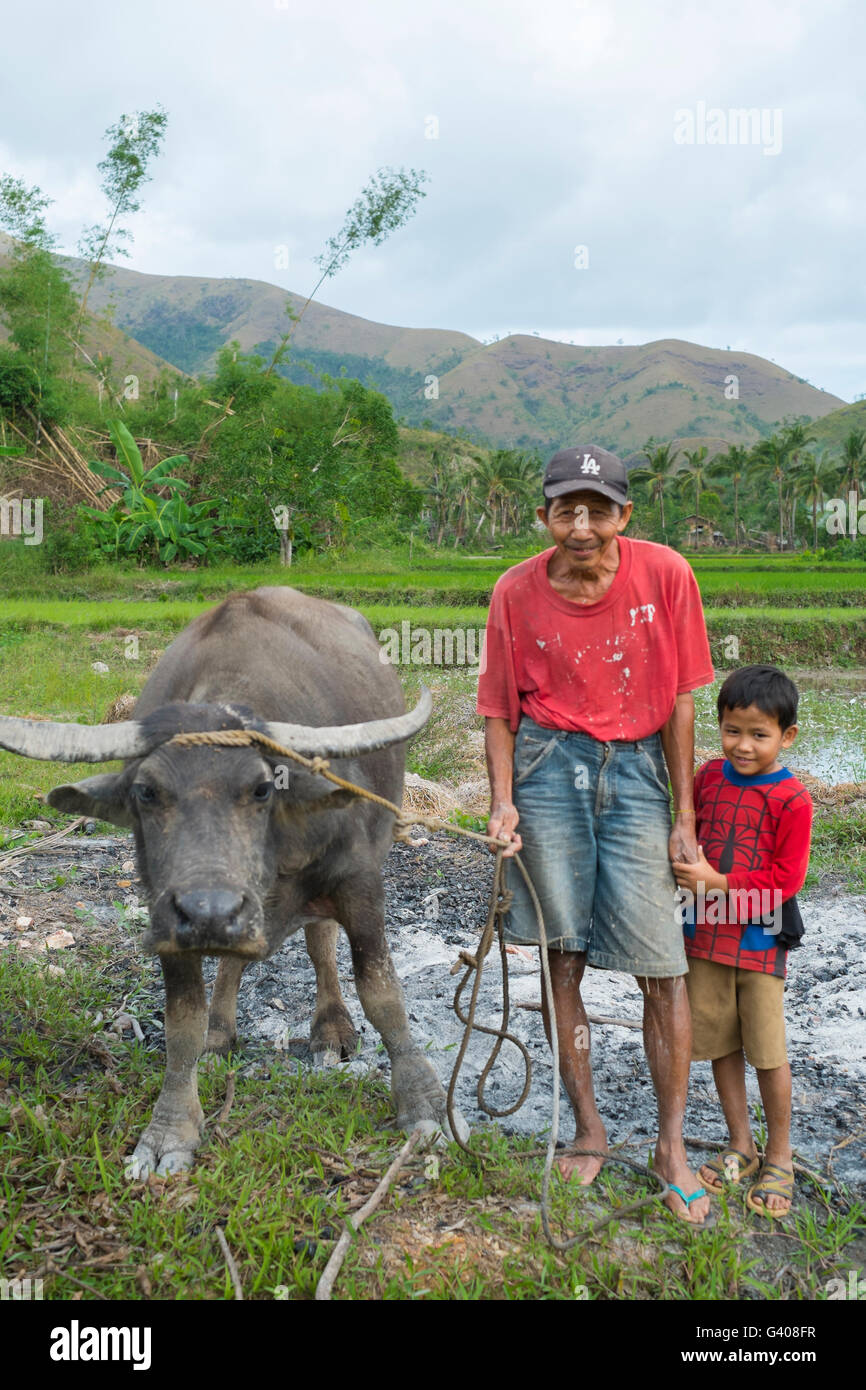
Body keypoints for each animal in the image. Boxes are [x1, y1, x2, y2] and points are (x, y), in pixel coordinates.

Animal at [1, 586, 467, 1173]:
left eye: (262, 789)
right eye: (146, 792)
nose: (210, 910)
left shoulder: (360, 879)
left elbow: (382, 993)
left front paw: (424, 1107)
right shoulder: (167, 911)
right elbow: (182, 1022)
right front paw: (170, 1130)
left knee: (320, 941)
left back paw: (331, 1026)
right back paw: (221, 1031)